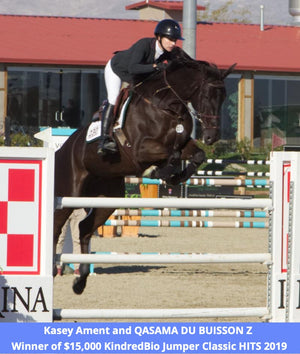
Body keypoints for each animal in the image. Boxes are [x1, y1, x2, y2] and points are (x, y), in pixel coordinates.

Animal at [54, 48, 237, 294]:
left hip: (108, 199)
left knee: (84, 228)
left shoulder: (184, 143)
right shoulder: (141, 149)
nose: (211, 137)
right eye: (207, 96)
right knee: (57, 226)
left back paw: (80, 281)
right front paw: (159, 172)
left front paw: (176, 176)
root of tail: (62, 148)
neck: (167, 106)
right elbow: (171, 155)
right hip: (68, 195)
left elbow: (195, 155)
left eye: (224, 97)